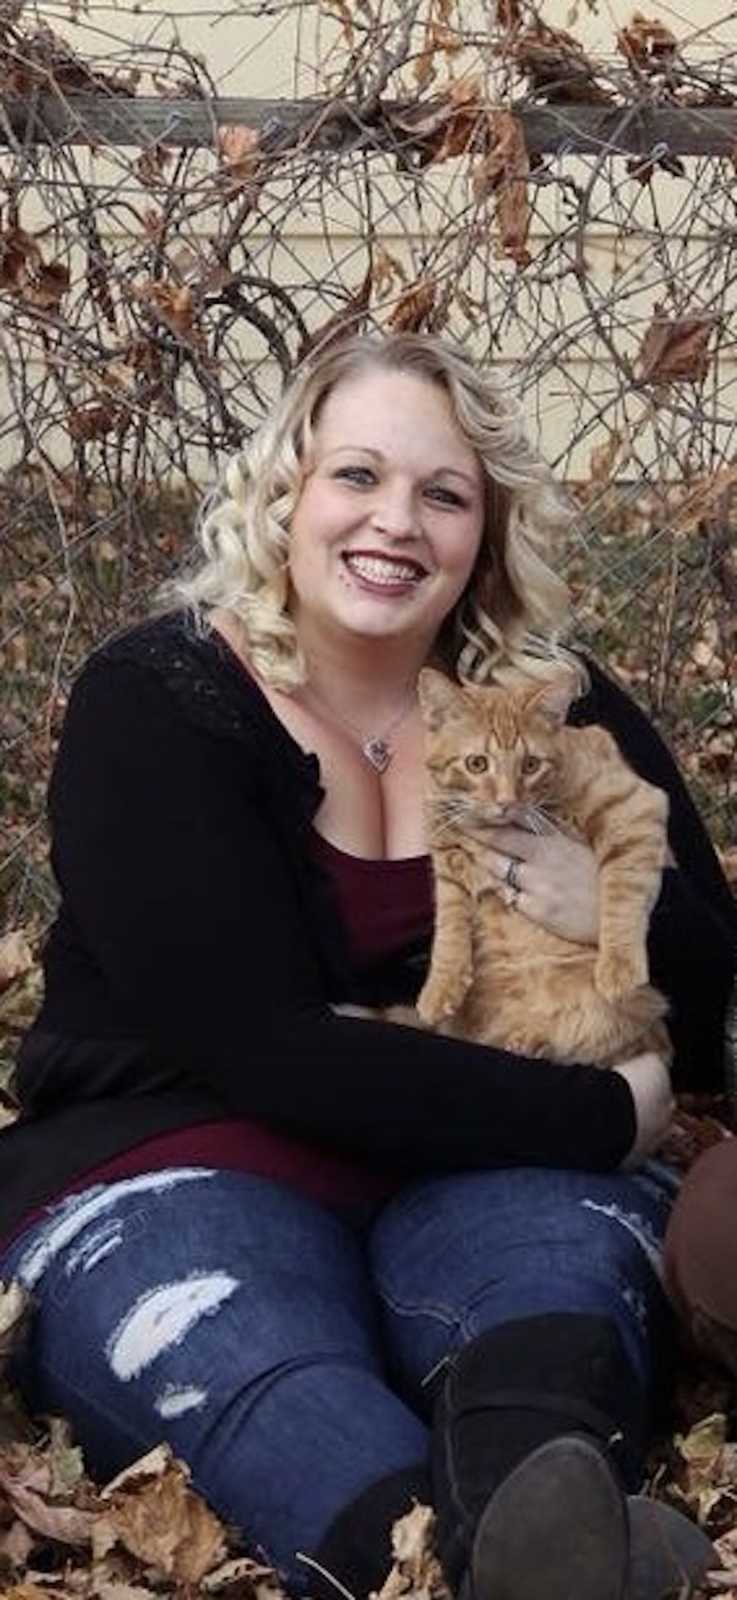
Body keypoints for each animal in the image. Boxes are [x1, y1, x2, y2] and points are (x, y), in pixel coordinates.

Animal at [415, 668, 668, 1068]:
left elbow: (623, 890)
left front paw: (619, 965)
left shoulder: (633, 808)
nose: (506, 802)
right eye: (477, 764)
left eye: (530, 765)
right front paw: (441, 985)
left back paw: (534, 1040)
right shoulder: (446, 858)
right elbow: (449, 926)